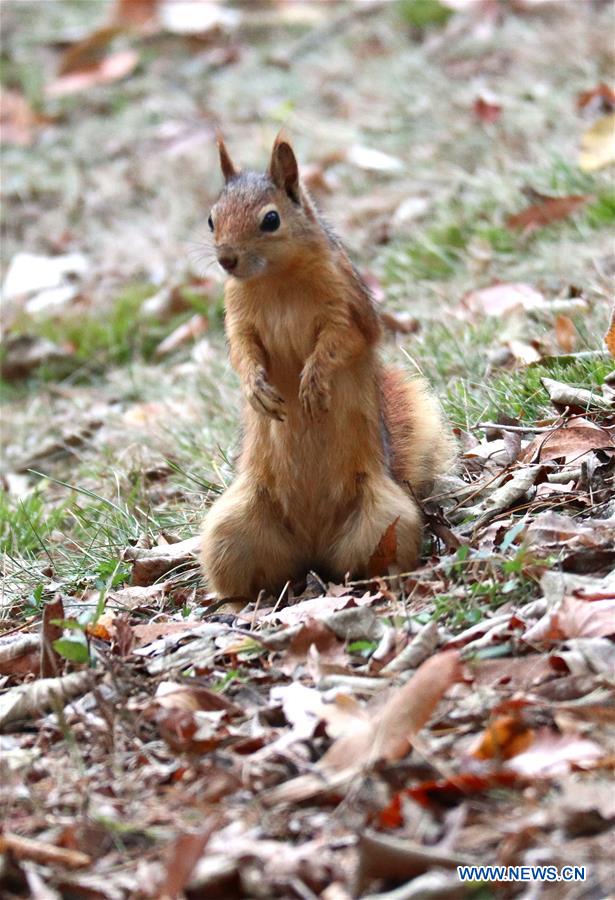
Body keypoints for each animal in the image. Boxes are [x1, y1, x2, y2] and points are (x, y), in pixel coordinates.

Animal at [200, 133, 455, 600]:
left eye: (270, 219)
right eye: (212, 219)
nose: (226, 259)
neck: (277, 280)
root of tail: (313, 547)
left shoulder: (347, 306)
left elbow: (341, 341)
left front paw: (314, 382)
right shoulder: (238, 318)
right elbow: (242, 352)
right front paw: (255, 388)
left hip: (386, 520)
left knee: (369, 560)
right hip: (232, 531)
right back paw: (246, 601)